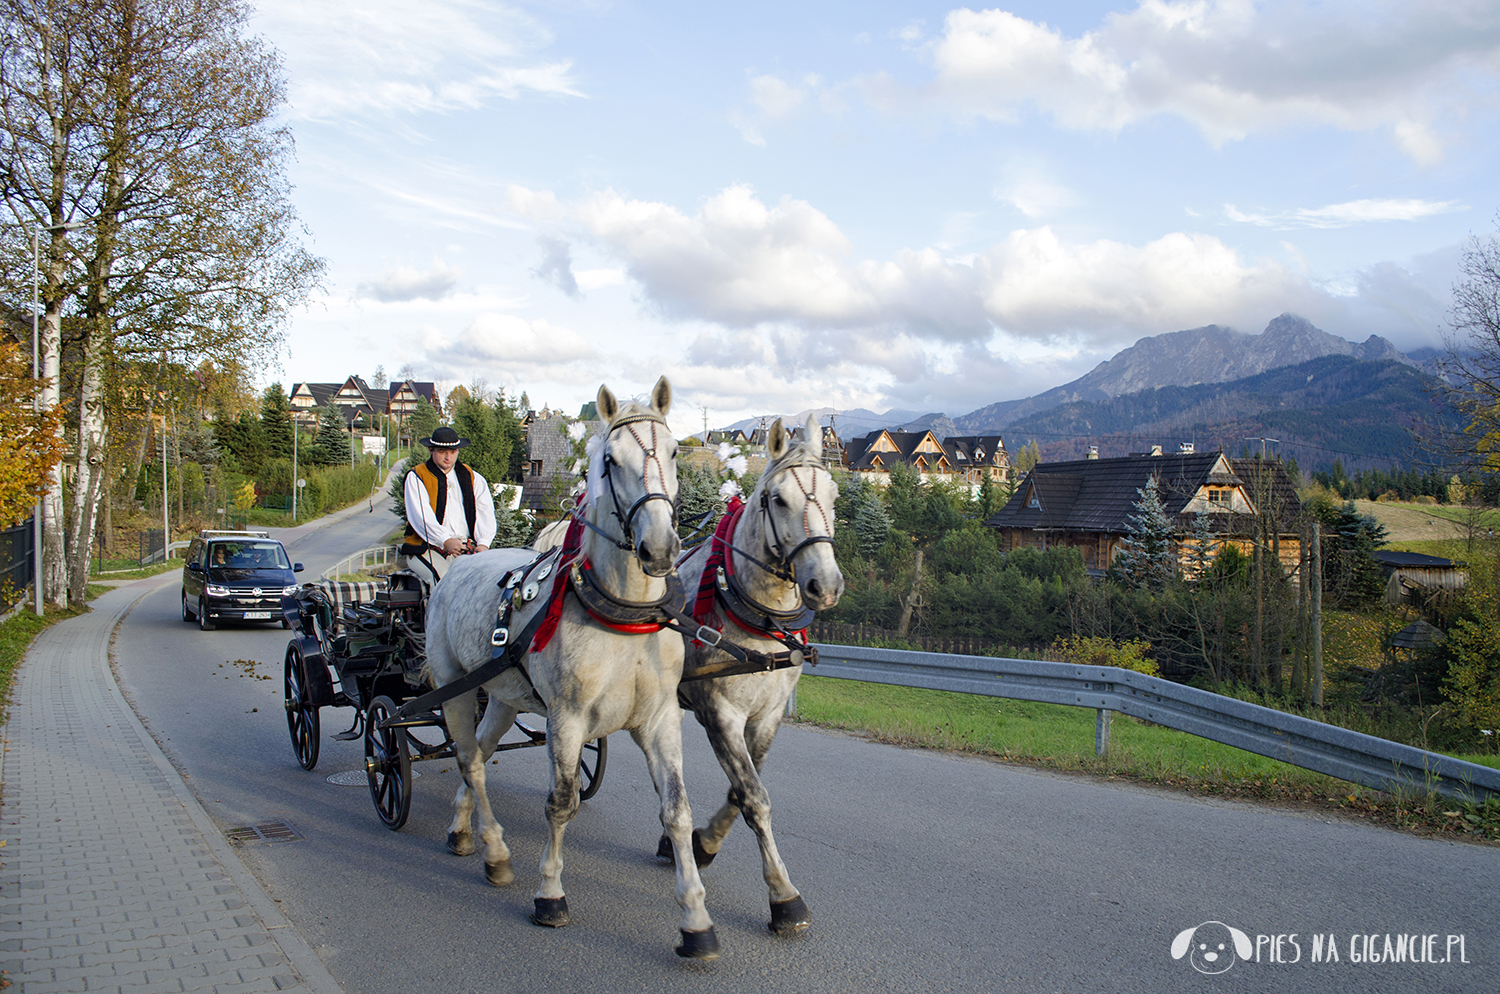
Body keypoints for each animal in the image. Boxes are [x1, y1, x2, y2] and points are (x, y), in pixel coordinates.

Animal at [420, 377, 723, 959]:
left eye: (676, 452)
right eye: (610, 459)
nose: (659, 548)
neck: (626, 616)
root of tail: (462, 561)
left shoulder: (660, 720)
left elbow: (677, 810)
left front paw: (696, 919)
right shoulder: (567, 720)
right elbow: (562, 803)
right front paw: (550, 895)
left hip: (502, 695)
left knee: (480, 754)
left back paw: (464, 830)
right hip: (454, 688)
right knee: (470, 760)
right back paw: (496, 852)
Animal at [669, 416, 846, 935]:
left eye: (834, 495)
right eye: (778, 499)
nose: (825, 586)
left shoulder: (767, 716)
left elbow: (741, 789)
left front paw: (703, 843)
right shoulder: (720, 713)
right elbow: (755, 796)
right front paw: (784, 896)